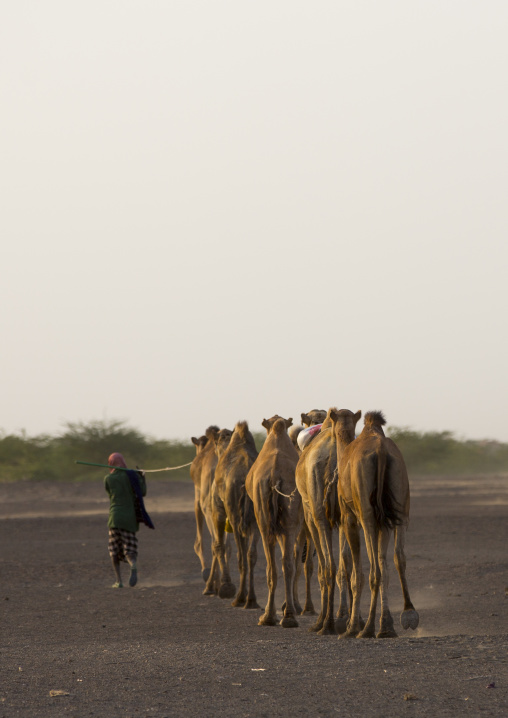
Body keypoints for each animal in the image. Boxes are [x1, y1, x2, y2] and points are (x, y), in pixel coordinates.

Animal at [210, 421, 260, 609]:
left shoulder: (218, 509)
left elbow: (220, 545)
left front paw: (225, 588)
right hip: (256, 515)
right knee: (251, 554)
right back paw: (251, 599)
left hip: (235, 515)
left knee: (241, 556)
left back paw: (240, 598)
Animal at [245, 415, 302, 628]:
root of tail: (275, 476)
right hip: (282, 519)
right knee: (285, 564)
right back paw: (286, 617)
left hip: (266, 520)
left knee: (276, 565)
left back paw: (270, 617)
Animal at [295, 408, 361, 635]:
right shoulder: (342, 517)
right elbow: (345, 563)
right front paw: (345, 616)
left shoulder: (310, 513)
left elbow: (322, 567)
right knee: (345, 564)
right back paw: (351, 620)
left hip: (317, 513)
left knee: (328, 565)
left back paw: (325, 623)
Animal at [330, 409, 420, 638]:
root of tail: (380, 451)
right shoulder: (384, 523)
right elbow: (385, 564)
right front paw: (386, 623)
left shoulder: (349, 519)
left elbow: (356, 574)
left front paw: (352, 626)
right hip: (400, 505)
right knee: (398, 557)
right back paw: (407, 616)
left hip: (367, 514)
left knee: (373, 570)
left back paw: (367, 628)